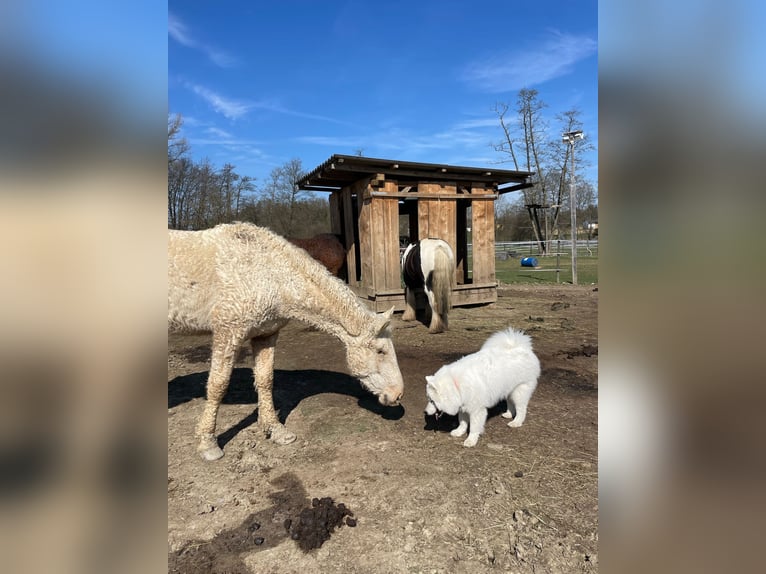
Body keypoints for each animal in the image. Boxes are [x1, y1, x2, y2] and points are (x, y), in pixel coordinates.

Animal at [168, 222, 404, 461]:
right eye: (381, 351)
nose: (397, 394)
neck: (270, 274)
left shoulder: (265, 335)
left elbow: (265, 380)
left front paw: (276, 431)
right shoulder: (228, 333)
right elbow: (218, 385)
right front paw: (208, 443)